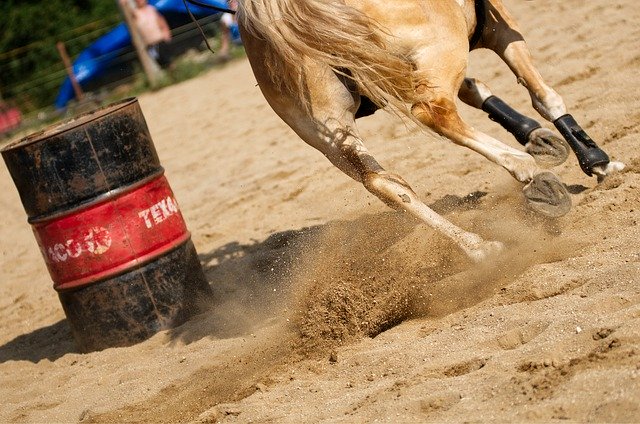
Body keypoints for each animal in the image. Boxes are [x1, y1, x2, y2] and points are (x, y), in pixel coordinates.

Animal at [232, 0, 624, 264]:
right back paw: (527, 171)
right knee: (434, 112)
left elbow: (474, 88)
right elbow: (543, 95)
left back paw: (478, 245)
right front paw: (596, 160)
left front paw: (536, 136)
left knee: (384, 183)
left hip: (327, 128)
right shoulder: (499, 26)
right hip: (442, 47)